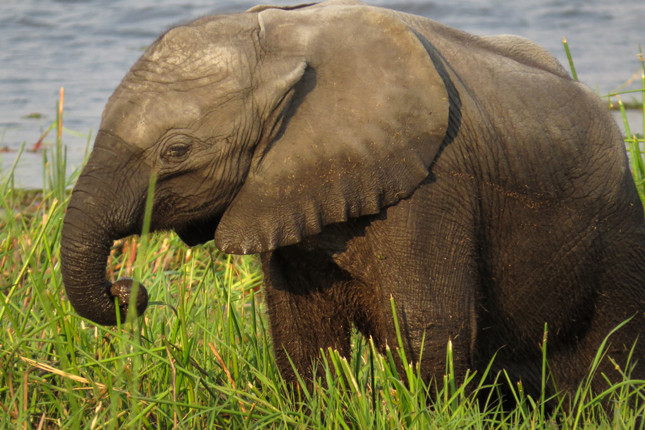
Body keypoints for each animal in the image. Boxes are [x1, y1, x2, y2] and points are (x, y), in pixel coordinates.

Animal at [60, 0, 644, 404]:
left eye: (176, 151)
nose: (127, 289)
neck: (279, 44)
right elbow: (304, 330)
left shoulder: (433, 189)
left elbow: (429, 331)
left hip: (618, 241)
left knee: (611, 367)